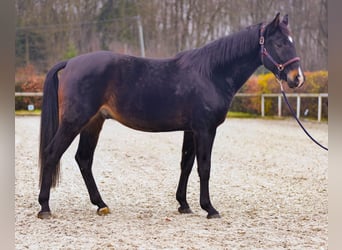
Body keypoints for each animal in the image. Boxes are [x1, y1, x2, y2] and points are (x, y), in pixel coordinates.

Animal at [37, 12, 304, 219]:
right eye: (280, 43)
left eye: (292, 41)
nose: (297, 78)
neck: (211, 73)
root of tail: (70, 62)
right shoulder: (205, 129)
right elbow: (204, 167)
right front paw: (209, 208)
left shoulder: (191, 129)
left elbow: (186, 164)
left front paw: (184, 205)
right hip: (74, 122)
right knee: (52, 154)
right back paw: (45, 207)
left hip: (93, 123)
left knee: (83, 159)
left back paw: (101, 204)